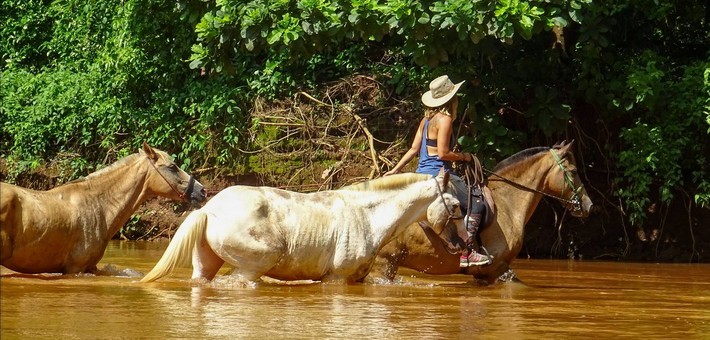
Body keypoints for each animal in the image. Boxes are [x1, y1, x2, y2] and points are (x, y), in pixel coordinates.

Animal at [141, 171, 464, 282]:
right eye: (457, 207)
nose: (461, 246)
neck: (368, 217)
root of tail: (209, 209)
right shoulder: (337, 279)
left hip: (205, 264)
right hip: (253, 267)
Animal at [372, 141, 596, 284]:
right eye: (574, 171)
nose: (589, 205)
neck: (508, 202)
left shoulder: (485, 274)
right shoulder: (497, 269)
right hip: (383, 266)